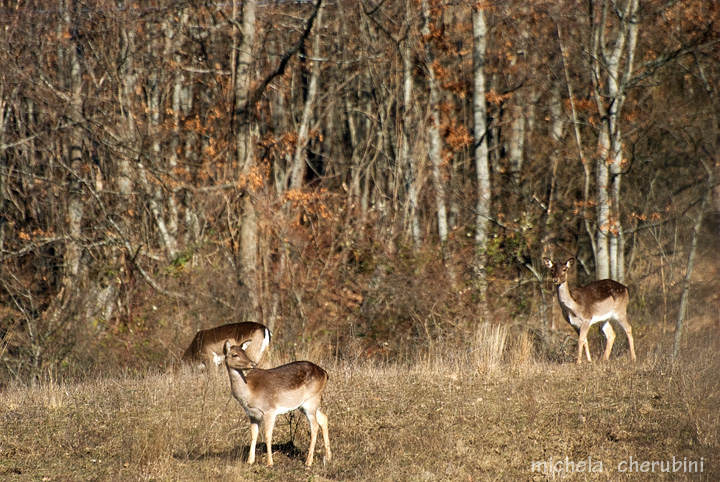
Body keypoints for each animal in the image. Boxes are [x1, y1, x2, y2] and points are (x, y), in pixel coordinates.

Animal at [222, 338, 332, 466]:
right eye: (235, 355)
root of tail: (325, 374)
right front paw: (250, 461)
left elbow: (267, 435)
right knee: (323, 418)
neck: (250, 392)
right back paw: (328, 457)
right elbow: (253, 435)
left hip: (311, 401)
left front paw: (270, 463)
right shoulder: (252, 415)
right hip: (306, 405)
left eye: (245, 352)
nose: (252, 364)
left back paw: (308, 462)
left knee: (314, 425)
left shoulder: (269, 410)